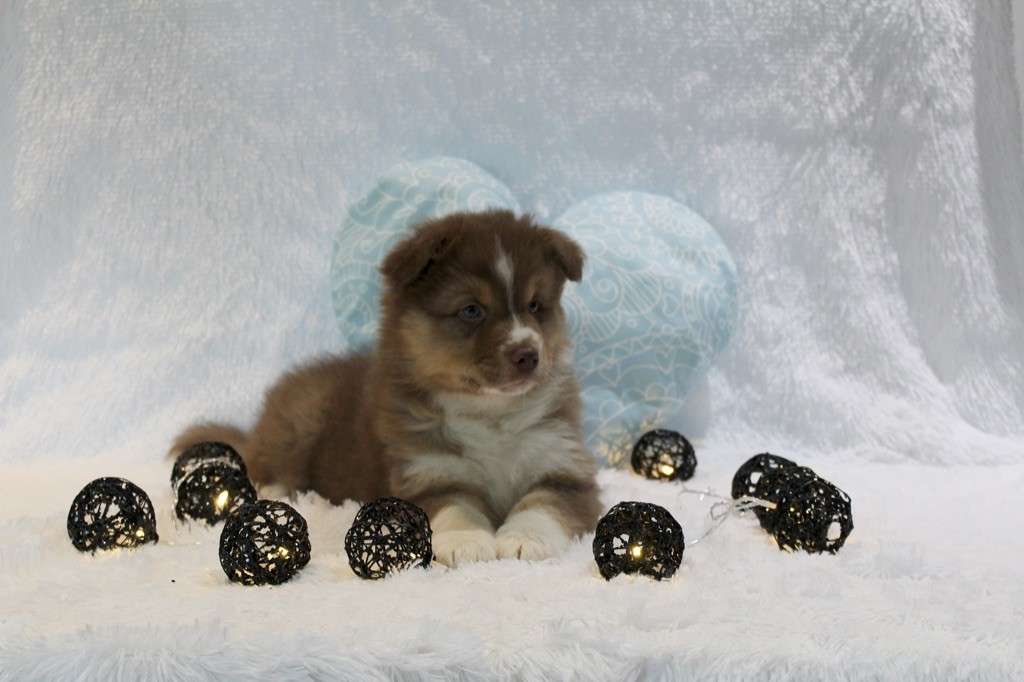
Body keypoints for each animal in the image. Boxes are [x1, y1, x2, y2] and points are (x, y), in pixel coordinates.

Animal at [172, 210, 602, 567]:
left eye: (535, 306)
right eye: (471, 310)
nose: (527, 354)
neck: (490, 414)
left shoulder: (565, 467)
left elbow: (543, 505)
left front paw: (524, 539)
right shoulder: (425, 473)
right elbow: (455, 507)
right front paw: (466, 542)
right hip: (301, 419)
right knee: (265, 461)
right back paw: (279, 491)